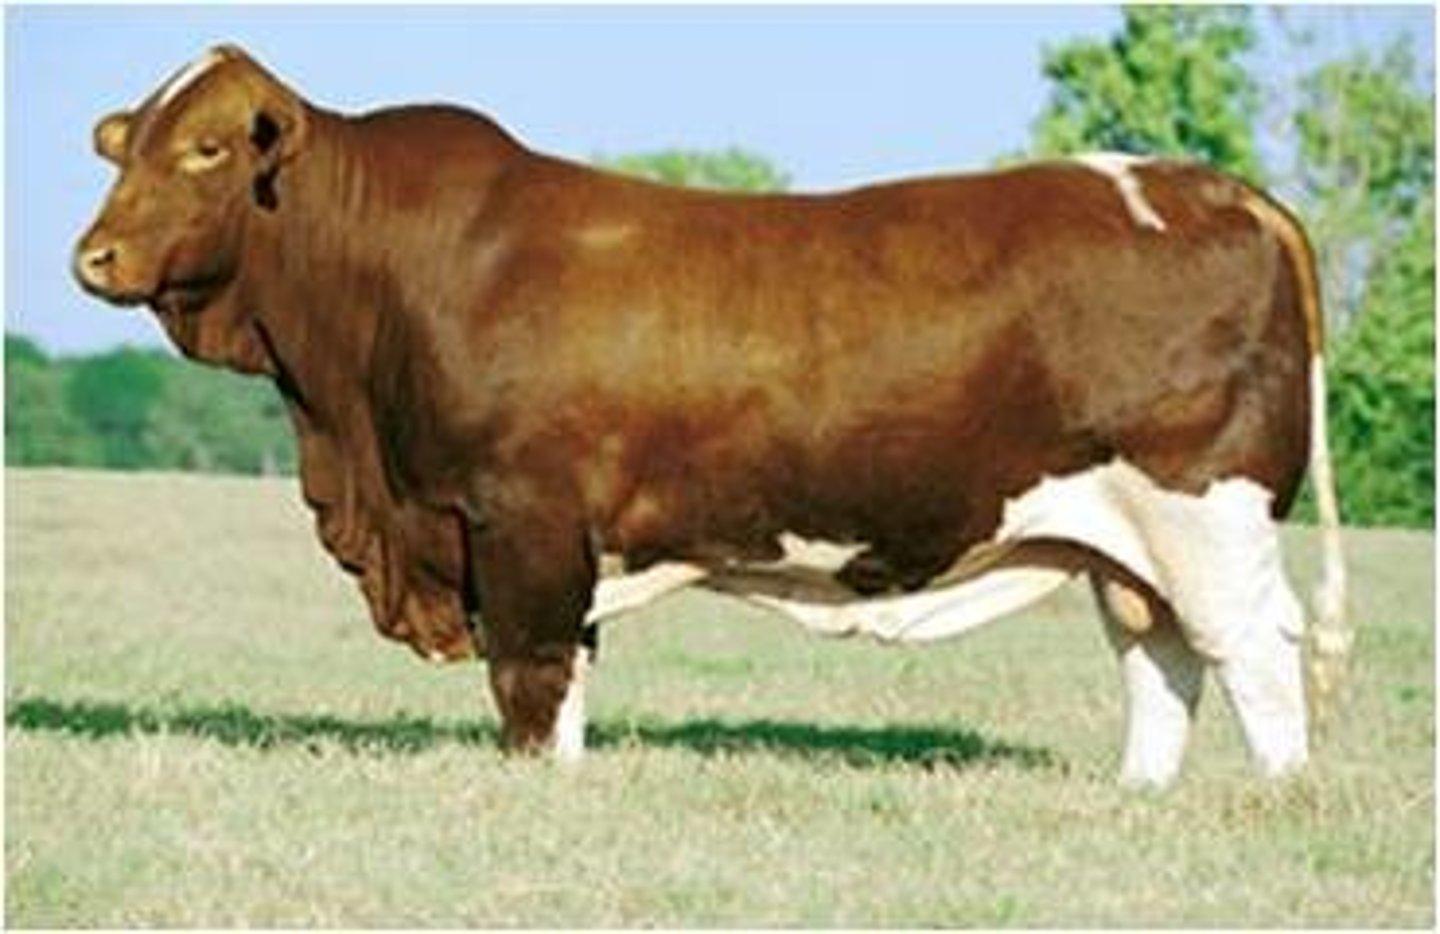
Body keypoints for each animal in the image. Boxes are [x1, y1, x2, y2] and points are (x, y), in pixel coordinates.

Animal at [75, 45, 1349, 786]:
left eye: (205, 148)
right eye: (125, 149)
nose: (92, 256)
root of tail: (1207, 184)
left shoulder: (521, 522)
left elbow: (531, 680)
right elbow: (568, 682)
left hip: (1205, 509)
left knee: (1254, 648)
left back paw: (1278, 797)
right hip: (1127, 538)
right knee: (1161, 649)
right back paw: (1142, 798)